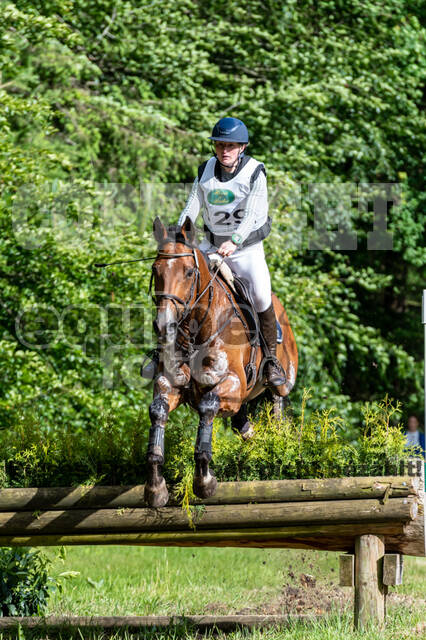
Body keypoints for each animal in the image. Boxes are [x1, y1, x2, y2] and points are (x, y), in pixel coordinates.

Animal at [144, 216, 298, 507]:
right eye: (155, 270)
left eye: (189, 272)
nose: (164, 325)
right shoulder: (172, 383)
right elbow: (158, 411)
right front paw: (155, 487)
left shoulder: (232, 386)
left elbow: (208, 406)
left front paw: (204, 482)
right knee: (244, 426)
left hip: (281, 380)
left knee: (278, 407)